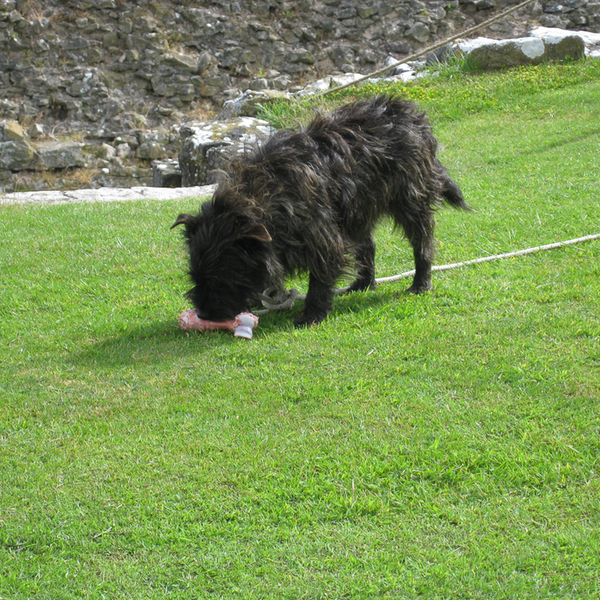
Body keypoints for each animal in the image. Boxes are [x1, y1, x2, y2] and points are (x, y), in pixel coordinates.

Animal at [173, 95, 468, 326]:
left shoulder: (323, 236)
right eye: (196, 276)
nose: (203, 313)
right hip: (357, 208)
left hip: (409, 200)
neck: (265, 196)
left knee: (423, 241)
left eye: (222, 278)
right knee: (367, 246)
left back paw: (420, 282)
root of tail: (411, 115)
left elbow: (320, 276)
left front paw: (312, 314)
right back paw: (362, 284)